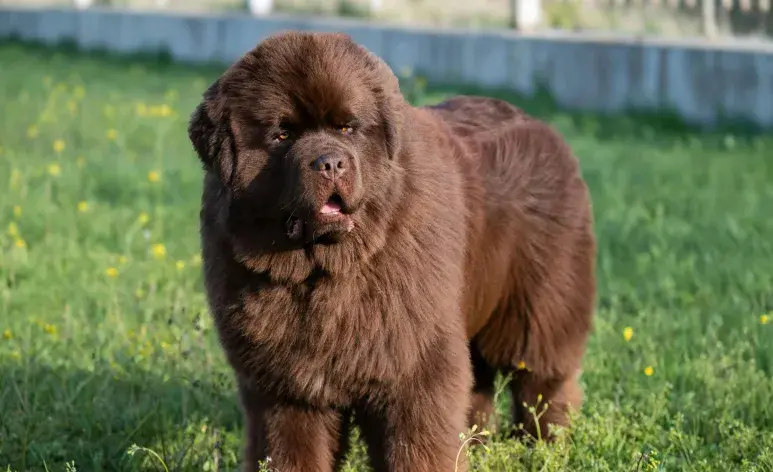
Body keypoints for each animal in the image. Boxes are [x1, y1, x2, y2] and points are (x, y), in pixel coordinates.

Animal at [188, 31, 596, 470]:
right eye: (282, 135)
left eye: (347, 128)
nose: (330, 163)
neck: (324, 272)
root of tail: (544, 127)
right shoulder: (287, 387)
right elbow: (289, 450)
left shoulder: (413, 366)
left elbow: (418, 444)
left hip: (540, 305)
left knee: (542, 378)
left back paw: (545, 446)